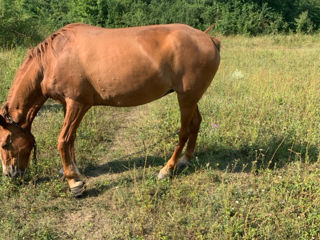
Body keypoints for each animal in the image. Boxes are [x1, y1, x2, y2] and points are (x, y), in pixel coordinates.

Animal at [0, 22, 220, 196]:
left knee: (183, 132)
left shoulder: (77, 104)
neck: (51, 60)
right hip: (191, 98)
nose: (10, 174)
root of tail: (209, 38)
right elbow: (71, 139)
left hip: (186, 98)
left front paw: (74, 182)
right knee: (196, 123)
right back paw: (186, 159)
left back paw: (168, 169)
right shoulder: (67, 104)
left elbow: (63, 140)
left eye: (4, 144)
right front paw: (71, 171)